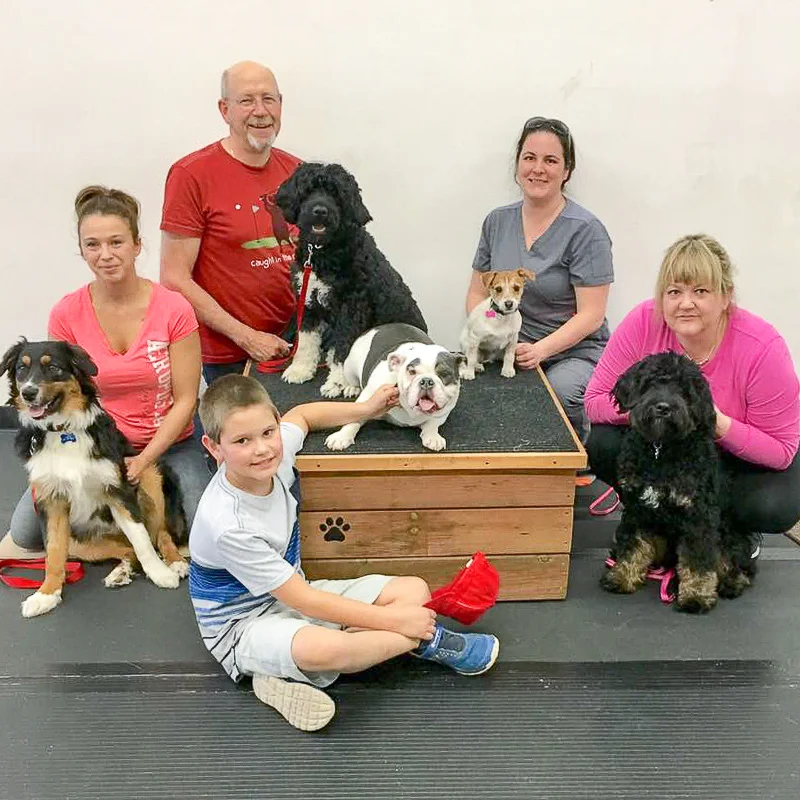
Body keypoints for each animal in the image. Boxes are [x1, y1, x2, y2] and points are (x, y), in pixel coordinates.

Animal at [1, 339, 188, 618]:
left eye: (53, 367)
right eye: (21, 370)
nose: (28, 393)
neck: (63, 432)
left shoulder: (118, 488)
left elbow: (142, 540)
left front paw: (159, 573)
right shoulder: (52, 501)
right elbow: (53, 554)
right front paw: (46, 594)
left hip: (149, 475)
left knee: (160, 535)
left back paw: (174, 563)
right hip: (78, 542)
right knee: (126, 548)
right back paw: (120, 572)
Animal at [275, 162, 428, 398]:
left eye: (337, 193)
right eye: (308, 190)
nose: (320, 211)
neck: (323, 254)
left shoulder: (352, 308)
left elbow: (344, 348)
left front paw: (339, 383)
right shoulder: (308, 301)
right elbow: (306, 341)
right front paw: (301, 369)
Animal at [324, 324, 463, 452]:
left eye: (444, 374)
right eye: (411, 372)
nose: (427, 381)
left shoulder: (443, 413)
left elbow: (432, 423)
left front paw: (433, 437)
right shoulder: (368, 401)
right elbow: (355, 417)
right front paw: (341, 436)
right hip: (350, 367)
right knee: (351, 379)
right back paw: (352, 388)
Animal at [600, 352, 755, 613]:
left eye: (684, 390)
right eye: (652, 382)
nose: (663, 407)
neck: (660, 450)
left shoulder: (698, 515)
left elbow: (698, 559)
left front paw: (696, 596)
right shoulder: (636, 509)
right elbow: (632, 545)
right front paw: (622, 576)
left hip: (727, 535)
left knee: (736, 564)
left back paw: (732, 583)